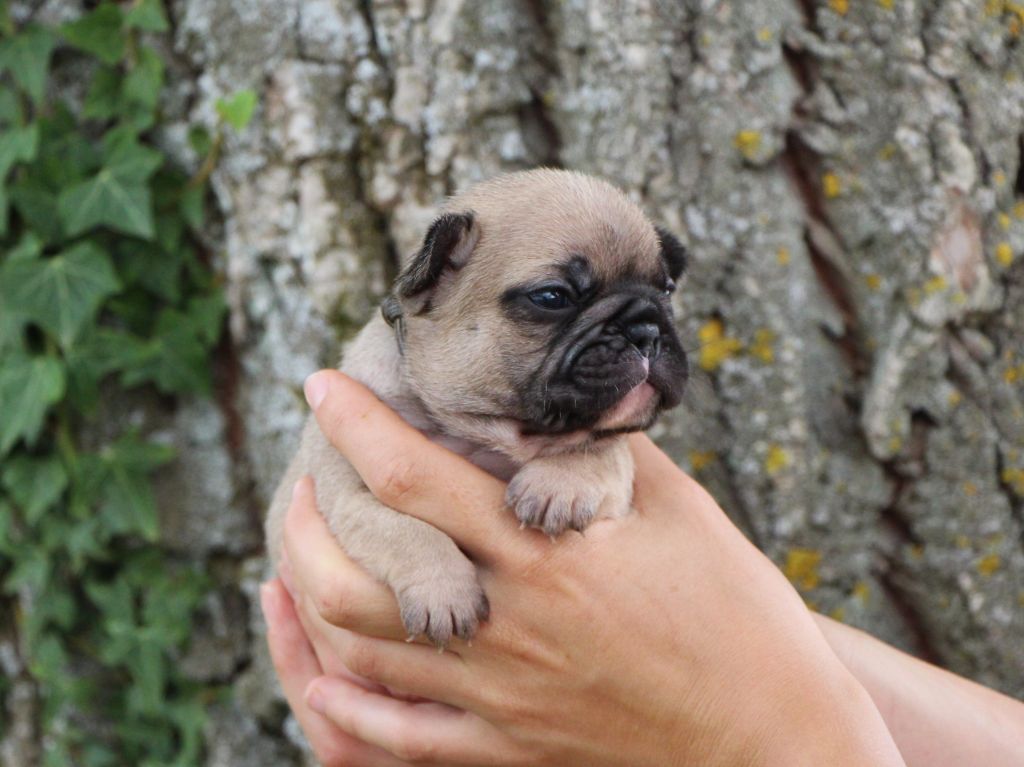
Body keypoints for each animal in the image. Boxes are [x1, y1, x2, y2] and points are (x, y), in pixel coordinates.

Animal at [267, 169, 688, 646]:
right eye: (552, 297)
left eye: (667, 289)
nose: (647, 330)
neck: (483, 430)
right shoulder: (345, 495)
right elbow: (400, 527)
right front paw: (443, 592)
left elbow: (607, 449)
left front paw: (564, 482)